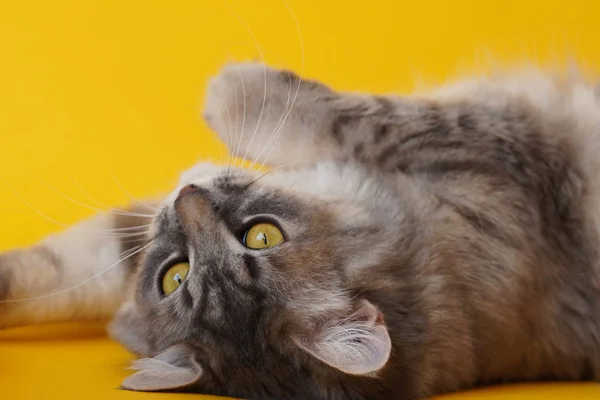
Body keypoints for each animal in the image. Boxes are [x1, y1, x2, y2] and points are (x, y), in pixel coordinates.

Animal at [1, 62, 600, 400]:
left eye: (262, 236)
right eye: (175, 275)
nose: (188, 197)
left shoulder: (513, 155)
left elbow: (365, 119)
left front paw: (230, 89)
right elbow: (60, 269)